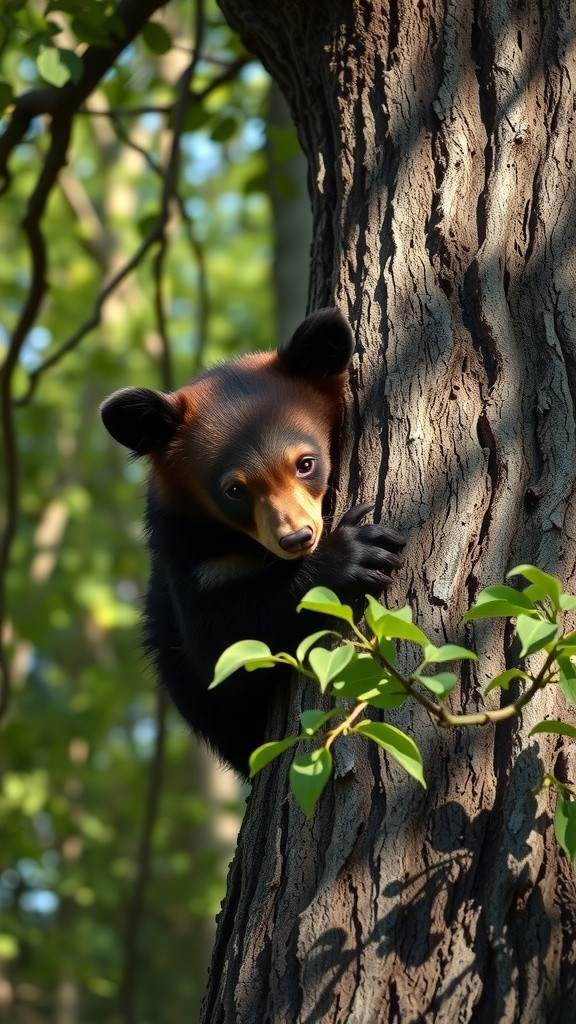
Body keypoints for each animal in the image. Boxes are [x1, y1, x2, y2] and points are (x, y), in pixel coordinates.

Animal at [100, 308, 404, 775]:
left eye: (305, 463)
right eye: (234, 490)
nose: (297, 537)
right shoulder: (186, 554)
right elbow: (221, 646)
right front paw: (353, 554)